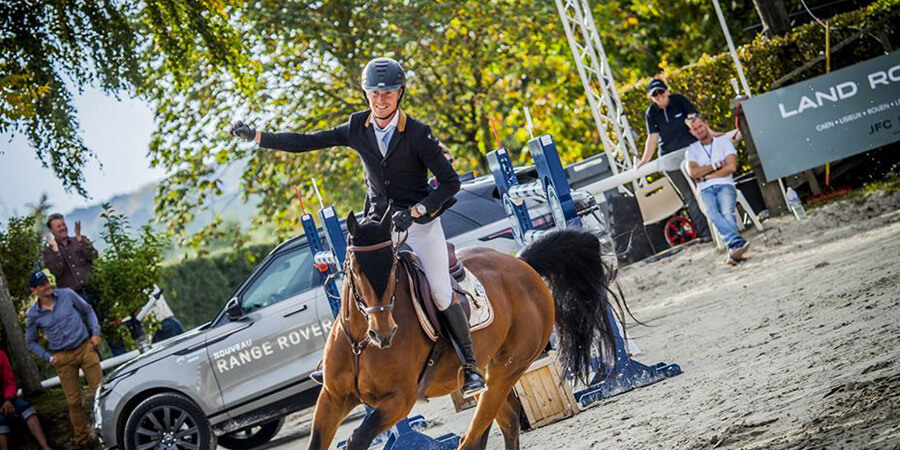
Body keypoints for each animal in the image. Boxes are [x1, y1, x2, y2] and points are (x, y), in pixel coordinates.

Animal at [310, 214, 620, 450]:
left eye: (392, 270)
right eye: (356, 270)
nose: (383, 334)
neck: (360, 342)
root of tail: (522, 265)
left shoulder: (399, 400)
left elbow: (358, 439)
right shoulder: (332, 397)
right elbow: (318, 442)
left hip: (505, 372)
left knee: (474, 438)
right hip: (490, 371)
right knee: (506, 423)